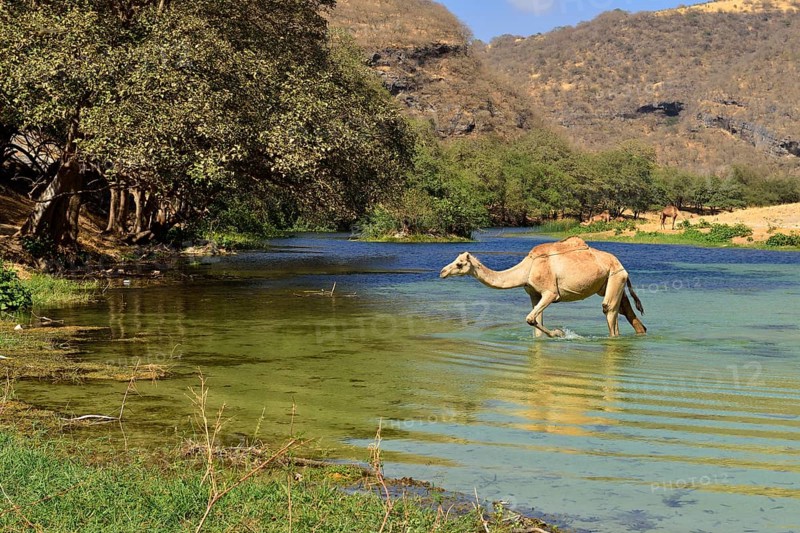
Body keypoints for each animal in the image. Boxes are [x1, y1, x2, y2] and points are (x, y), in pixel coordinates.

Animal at [439, 236, 646, 338]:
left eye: (459, 264)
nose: (442, 272)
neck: (527, 269)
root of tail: (621, 265)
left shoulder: (550, 293)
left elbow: (531, 319)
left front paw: (559, 333)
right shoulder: (534, 294)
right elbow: (536, 323)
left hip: (615, 276)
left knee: (609, 310)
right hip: (611, 282)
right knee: (625, 308)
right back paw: (641, 332)